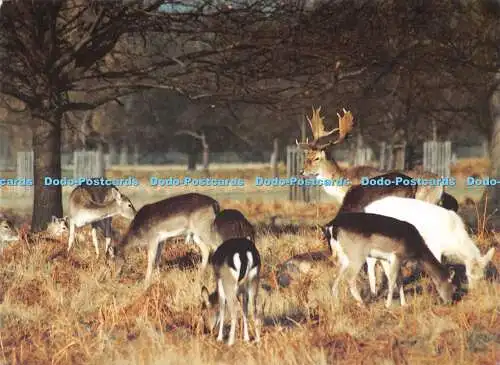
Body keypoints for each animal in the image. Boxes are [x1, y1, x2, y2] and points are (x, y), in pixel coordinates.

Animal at [324, 210, 458, 308]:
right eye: (454, 288)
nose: (450, 302)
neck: (416, 247)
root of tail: (332, 226)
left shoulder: (386, 259)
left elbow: (397, 279)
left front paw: (404, 304)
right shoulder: (397, 256)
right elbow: (393, 280)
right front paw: (388, 305)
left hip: (344, 256)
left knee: (336, 275)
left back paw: (335, 303)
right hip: (357, 255)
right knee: (350, 277)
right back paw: (361, 303)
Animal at [364, 195, 496, 288]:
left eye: (482, 277)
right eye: (469, 275)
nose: (474, 291)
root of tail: (366, 208)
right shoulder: (434, 246)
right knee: (370, 261)